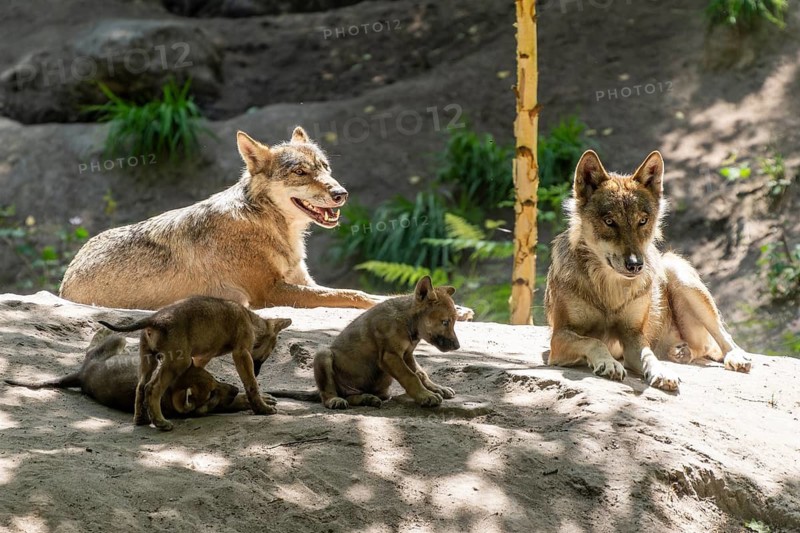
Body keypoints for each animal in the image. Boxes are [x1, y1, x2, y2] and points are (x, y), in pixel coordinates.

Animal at [545, 150, 753, 391]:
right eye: (609, 221)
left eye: (642, 221)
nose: (635, 264)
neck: (610, 290)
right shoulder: (558, 338)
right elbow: (593, 341)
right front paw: (610, 363)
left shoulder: (634, 336)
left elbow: (648, 355)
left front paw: (662, 372)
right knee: (701, 349)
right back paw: (681, 352)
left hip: (679, 274)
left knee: (720, 336)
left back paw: (734, 357)